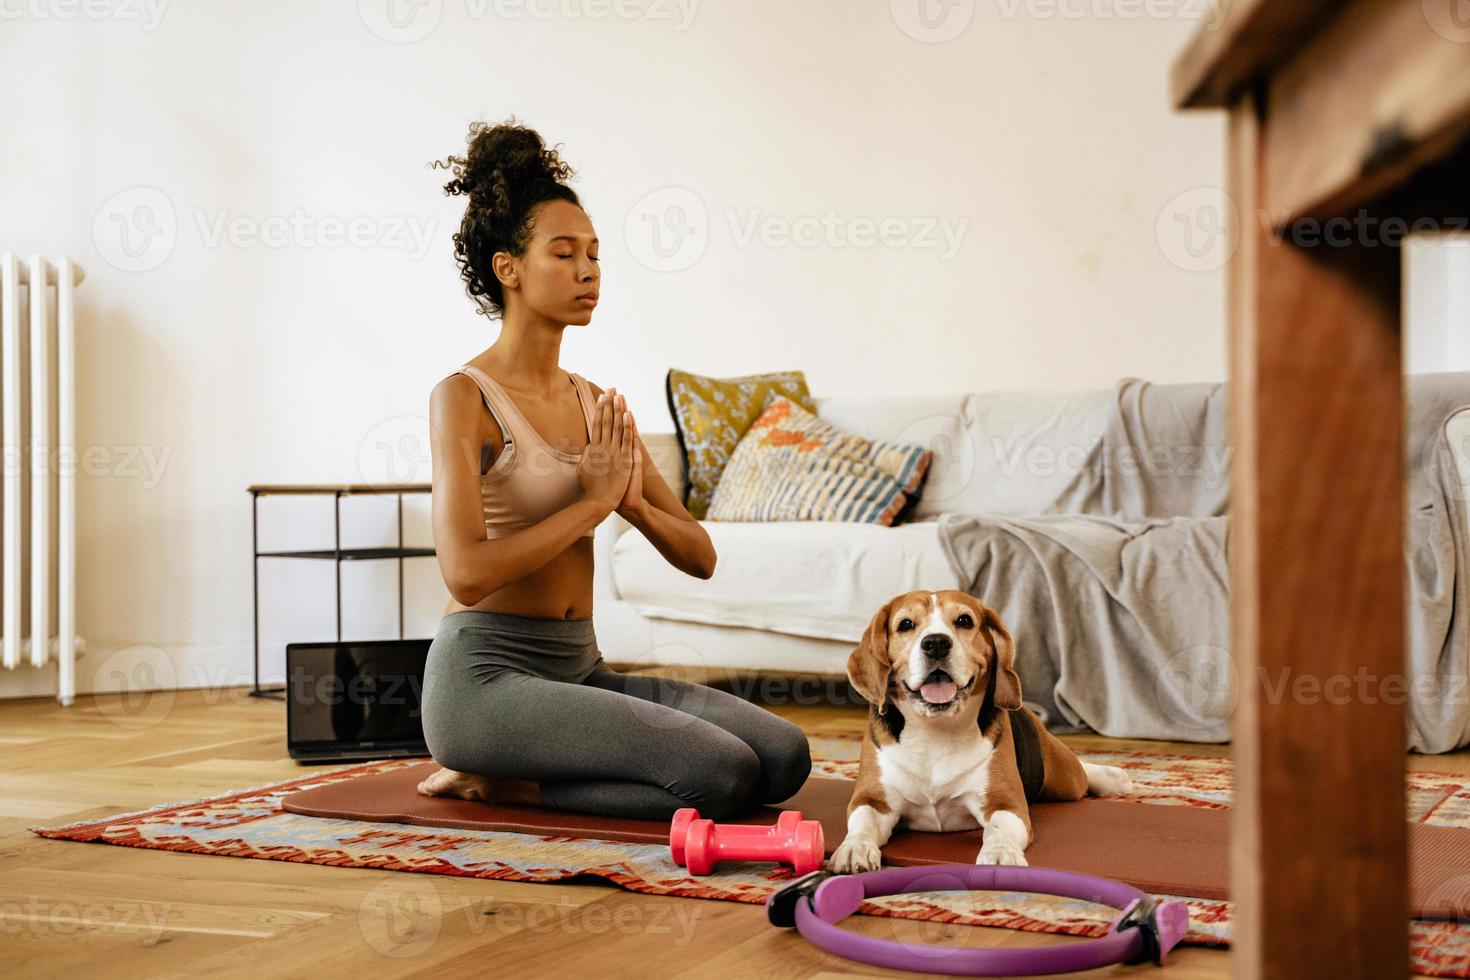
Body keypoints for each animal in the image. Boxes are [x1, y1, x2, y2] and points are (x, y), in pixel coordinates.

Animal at [834, 590, 1128, 875]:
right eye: (906, 624)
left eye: (964, 621)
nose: (936, 643)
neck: (936, 731)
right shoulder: (872, 800)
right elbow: (862, 823)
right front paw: (854, 848)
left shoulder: (1005, 803)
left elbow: (998, 829)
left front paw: (1000, 854)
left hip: (1063, 778)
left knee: (1082, 771)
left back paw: (1115, 778)